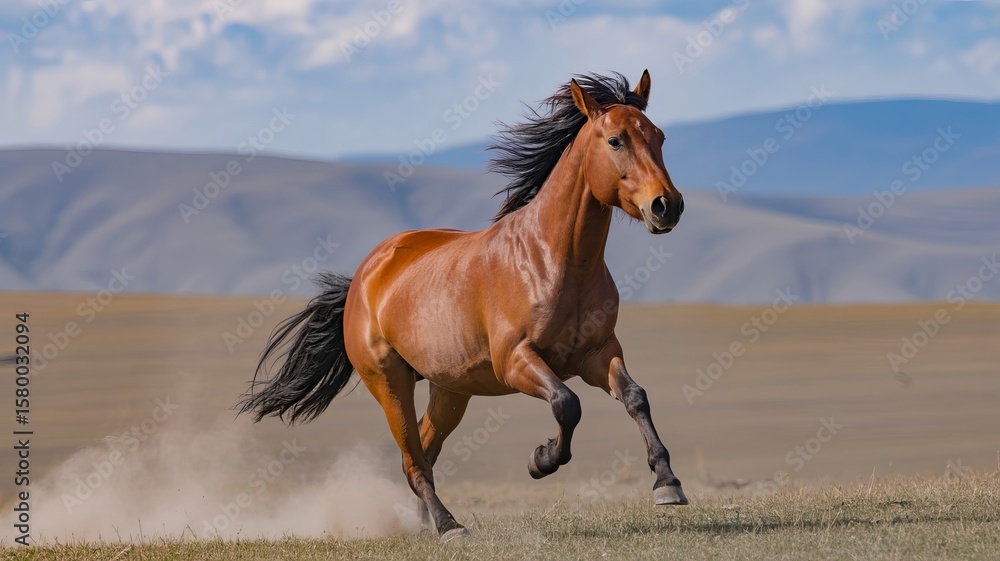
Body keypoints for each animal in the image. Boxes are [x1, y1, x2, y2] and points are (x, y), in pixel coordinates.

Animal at [237, 70, 687, 542]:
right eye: (616, 140)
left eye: (659, 136)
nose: (667, 205)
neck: (554, 259)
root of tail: (365, 275)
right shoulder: (516, 361)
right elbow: (567, 404)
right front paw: (541, 459)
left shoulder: (597, 353)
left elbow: (635, 397)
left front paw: (667, 483)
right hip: (390, 384)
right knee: (413, 460)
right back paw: (449, 525)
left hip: (449, 390)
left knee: (426, 448)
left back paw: (426, 523)